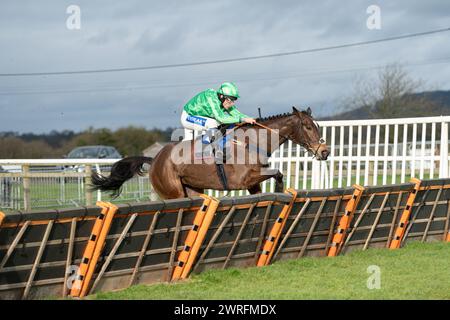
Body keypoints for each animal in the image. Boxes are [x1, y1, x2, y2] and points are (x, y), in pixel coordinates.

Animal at [90, 106, 330, 199]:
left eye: (317, 125)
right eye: (307, 127)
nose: (325, 151)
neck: (251, 143)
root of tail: (155, 158)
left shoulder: (252, 183)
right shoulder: (243, 180)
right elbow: (277, 172)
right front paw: (280, 189)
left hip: (194, 189)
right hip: (173, 191)